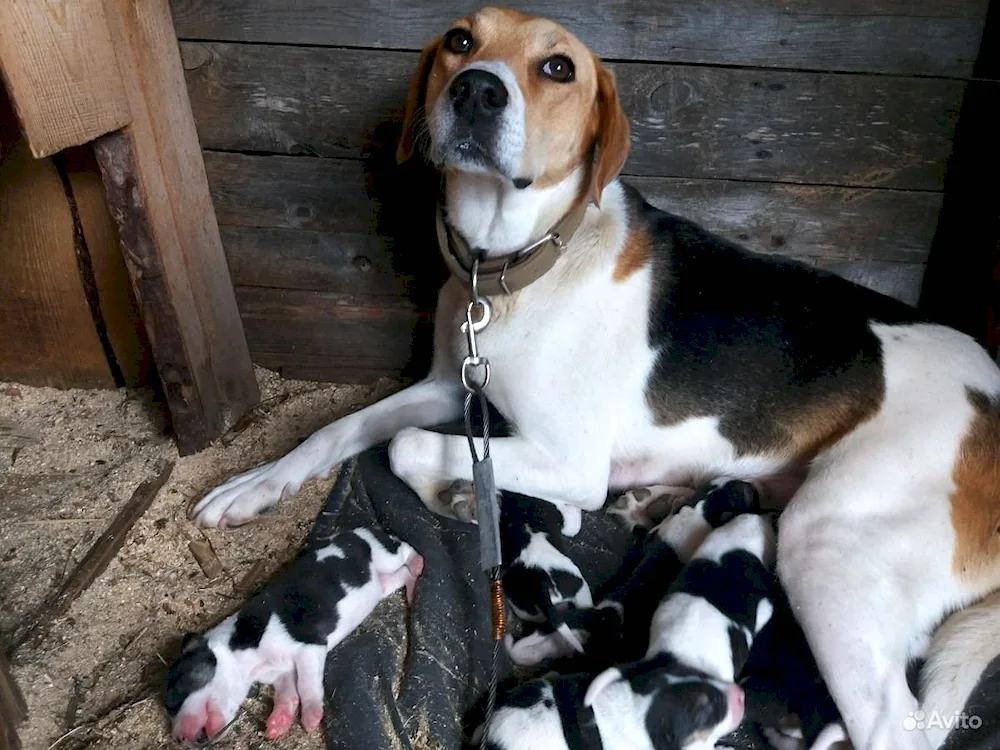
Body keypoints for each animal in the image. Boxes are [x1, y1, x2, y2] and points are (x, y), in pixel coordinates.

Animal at [166, 528, 424, 748]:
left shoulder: (310, 646)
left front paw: (311, 721)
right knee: (399, 576)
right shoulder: (283, 673)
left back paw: (419, 564)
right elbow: (288, 694)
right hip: (383, 585)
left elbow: (306, 684)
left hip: (382, 554)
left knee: (404, 549)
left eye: (179, 688)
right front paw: (274, 728)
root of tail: (365, 529)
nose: (178, 738)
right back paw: (413, 592)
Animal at [193, 7, 1000, 750]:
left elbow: (407, 447)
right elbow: (343, 429)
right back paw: (654, 502)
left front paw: (461, 496)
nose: (476, 89)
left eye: (558, 68)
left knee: (893, 724)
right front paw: (256, 485)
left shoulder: (569, 461)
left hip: (826, 537)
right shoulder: (456, 386)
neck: (512, 266)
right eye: (460, 39)